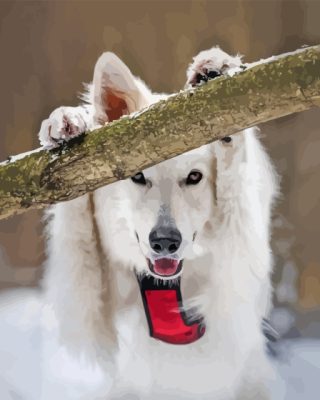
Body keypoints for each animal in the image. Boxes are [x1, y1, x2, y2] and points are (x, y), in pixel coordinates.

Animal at [0, 46, 278, 396]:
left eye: (195, 177)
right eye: (138, 176)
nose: (165, 242)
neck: (165, 284)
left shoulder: (233, 295)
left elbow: (234, 185)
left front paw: (217, 76)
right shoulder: (86, 315)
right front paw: (68, 124)